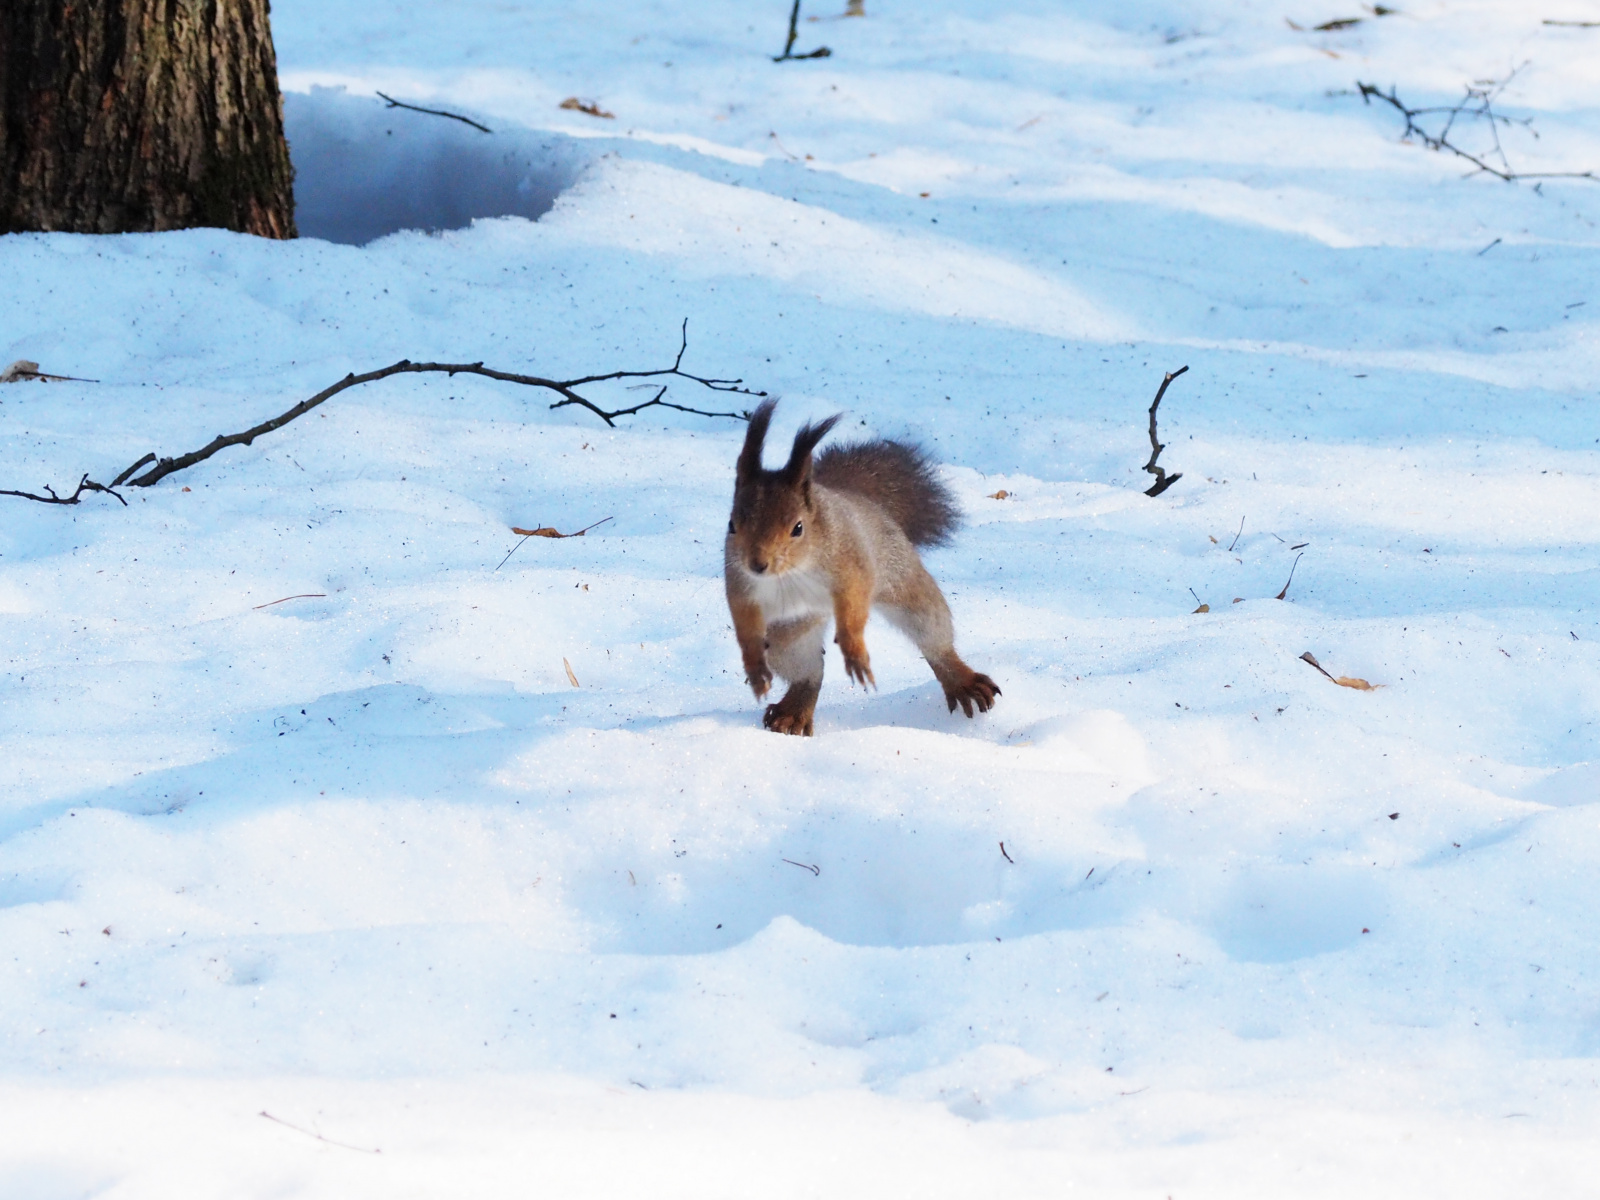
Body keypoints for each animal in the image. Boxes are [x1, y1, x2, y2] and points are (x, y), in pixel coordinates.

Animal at [726, 401, 998, 742]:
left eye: (798, 528)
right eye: (732, 525)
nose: (758, 564)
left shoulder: (851, 565)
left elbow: (854, 605)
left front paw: (854, 648)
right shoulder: (740, 584)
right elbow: (744, 618)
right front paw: (754, 667)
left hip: (902, 581)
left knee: (933, 636)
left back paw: (960, 678)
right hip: (787, 636)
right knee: (810, 673)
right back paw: (793, 711)